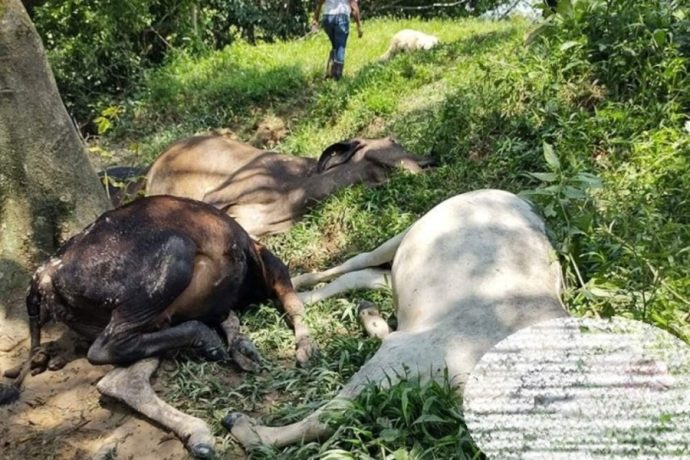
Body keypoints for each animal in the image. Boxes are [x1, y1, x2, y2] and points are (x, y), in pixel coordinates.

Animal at [0, 194, 316, 456]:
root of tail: (44, 275)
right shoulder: (267, 261)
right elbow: (293, 302)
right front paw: (305, 350)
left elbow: (234, 317)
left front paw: (244, 348)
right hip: (172, 256)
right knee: (107, 349)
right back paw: (207, 347)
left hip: (146, 316)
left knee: (122, 372)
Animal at [223, 190, 568, 450]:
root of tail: (516, 197)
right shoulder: (402, 355)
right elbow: (327, 416)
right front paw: (245, 428)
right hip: (406, 232)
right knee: (354, 264)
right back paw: (299, 284)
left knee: (370, 278)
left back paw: (355, 310)